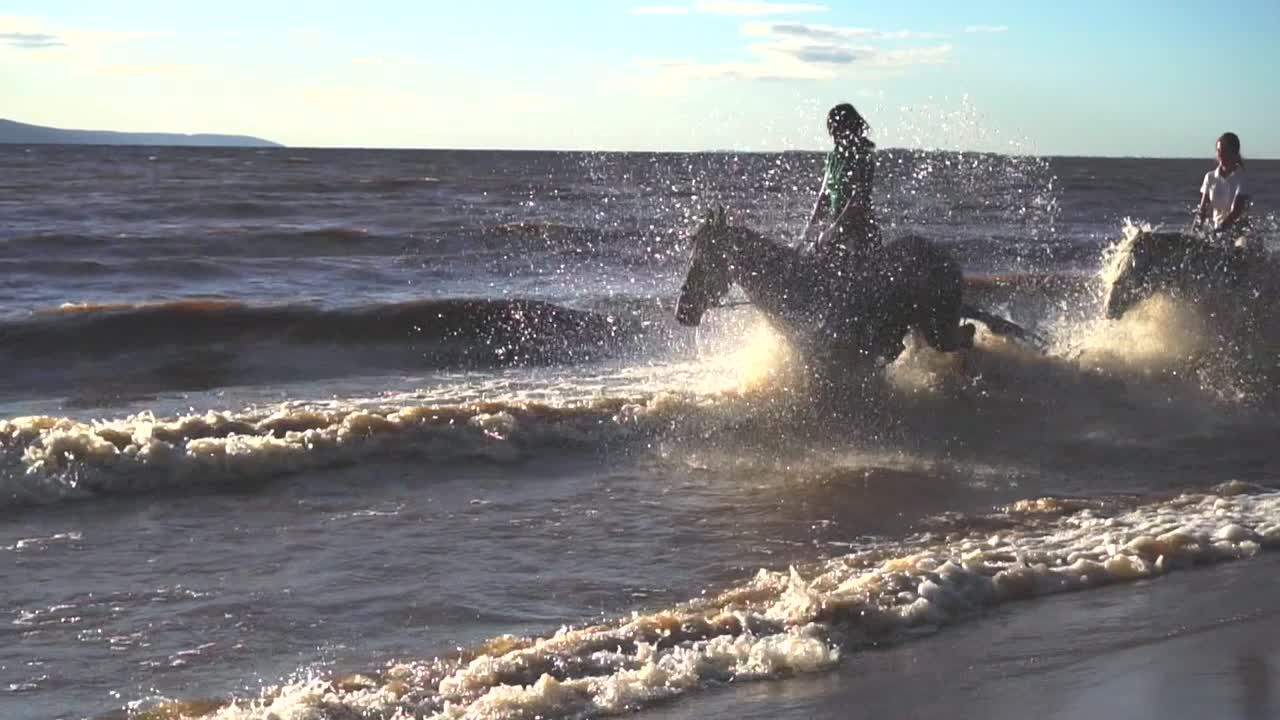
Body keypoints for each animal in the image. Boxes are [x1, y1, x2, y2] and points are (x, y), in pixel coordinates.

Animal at [675, 208, 1036, 379]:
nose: (682, 311)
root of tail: (944, 257)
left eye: (702, 261)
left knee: (967, 334)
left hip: (938, 326)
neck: (795, 287)